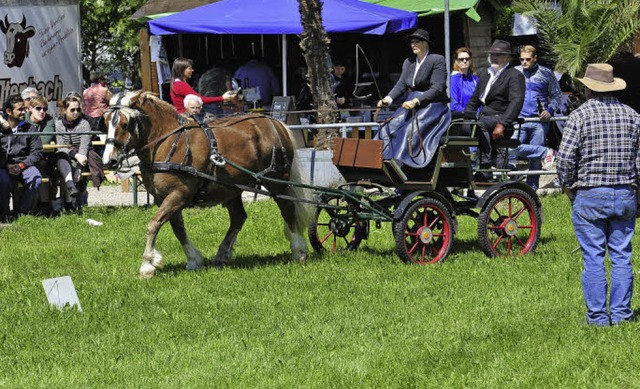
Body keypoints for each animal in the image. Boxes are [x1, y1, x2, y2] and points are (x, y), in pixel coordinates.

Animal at [101, 91, 308, 278]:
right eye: (105, 122)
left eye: (125, 124)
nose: (109, 161)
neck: (167, 142)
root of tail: (275, 122)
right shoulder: (164, 198)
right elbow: (178, 229)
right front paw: (193, 260)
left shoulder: (179, 194)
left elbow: (154, 224)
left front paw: (147, 265)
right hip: (231, 188)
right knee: (238, 218)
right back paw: (222, 255)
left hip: (276, 181)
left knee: (288, 210)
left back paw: (299, 250)